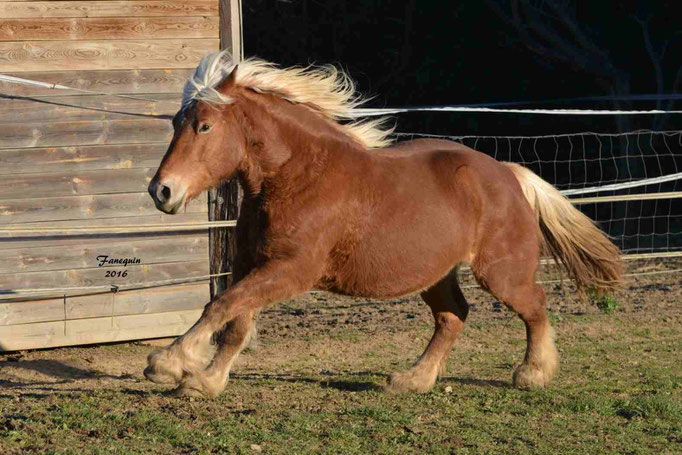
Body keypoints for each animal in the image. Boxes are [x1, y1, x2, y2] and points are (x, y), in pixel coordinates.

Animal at [145, 50, 620, 400]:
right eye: (176, 123)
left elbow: (220, 308)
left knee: (534, 305)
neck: (295, 177)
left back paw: (533, 373)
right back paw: (413, 380)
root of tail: (507, 173)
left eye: (205, 126)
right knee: (453, 316)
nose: (161, 191)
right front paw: (204, 381)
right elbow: (234, 320)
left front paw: (167, 363)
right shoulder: (252, 265)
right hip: (437, 274)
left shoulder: (291, 270)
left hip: (500, 273)